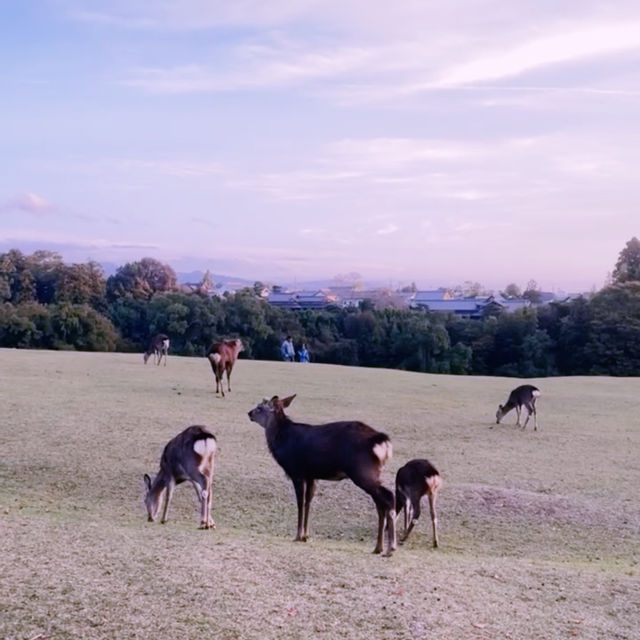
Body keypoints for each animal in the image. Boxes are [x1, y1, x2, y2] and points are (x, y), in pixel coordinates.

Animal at [248, 394, 397, 556]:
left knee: (388, 497)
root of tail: (382, 442)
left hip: (362, 471)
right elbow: (308, 502)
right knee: (380, 504)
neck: (281, 442)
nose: (249, 413)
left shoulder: (297, 472)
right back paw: (378, 547)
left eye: (259, 407)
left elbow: (300, 503)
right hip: (372, 473)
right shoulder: (311, 476)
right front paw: (305, 536)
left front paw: (297, 536)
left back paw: (390, 548)